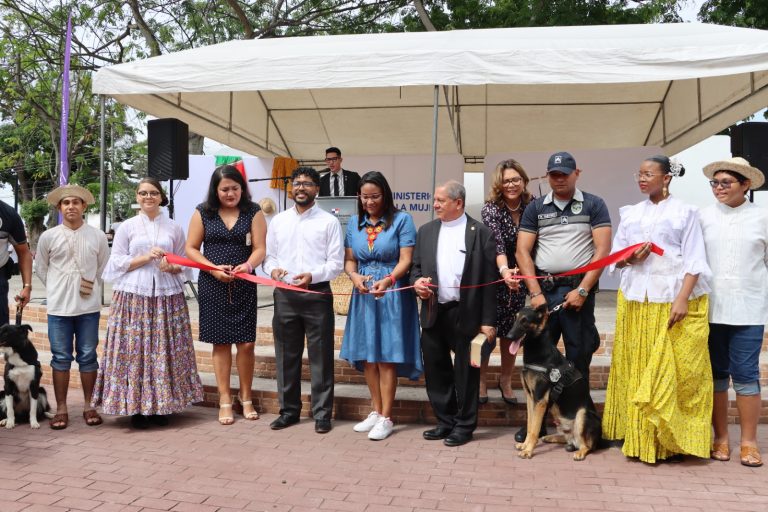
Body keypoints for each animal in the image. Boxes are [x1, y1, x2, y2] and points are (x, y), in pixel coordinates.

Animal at [508, 304, 604, 460]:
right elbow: (530, 425)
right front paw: (525, 445)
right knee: (568, 439)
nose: (509, 336)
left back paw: (579, 452)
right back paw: (551, 437)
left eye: (525, 321)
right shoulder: (530, 397)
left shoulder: (540, 400)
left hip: (582, 414)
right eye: (515, 319)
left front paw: (528, 451)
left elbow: (534, 429)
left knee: (588, 446)